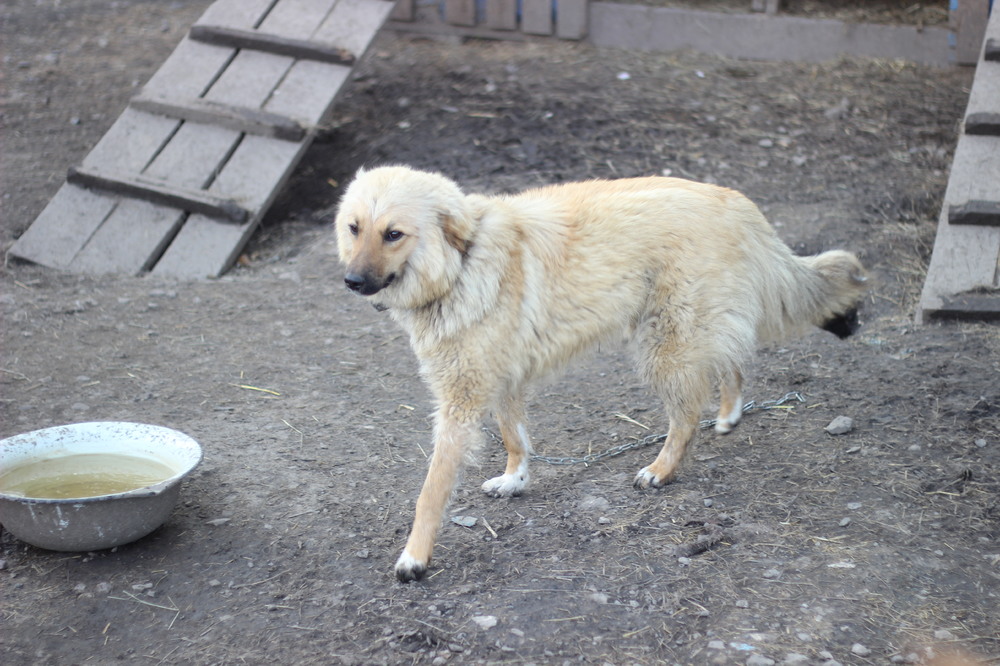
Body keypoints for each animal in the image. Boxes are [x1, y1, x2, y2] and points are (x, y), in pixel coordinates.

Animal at [338, 163, 868, 580]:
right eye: (354, 228)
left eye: (393, 233)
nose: (352, 281)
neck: (462, 264)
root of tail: (735, 202)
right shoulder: (502, 380)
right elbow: (514, 437)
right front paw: (515, 480)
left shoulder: (461, 400)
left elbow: (430, 492)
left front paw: (414, 557)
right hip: (692, 331)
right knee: (733, 359)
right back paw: (730, 413)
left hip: (665, 345)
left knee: (686, 416)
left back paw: (661, 470)